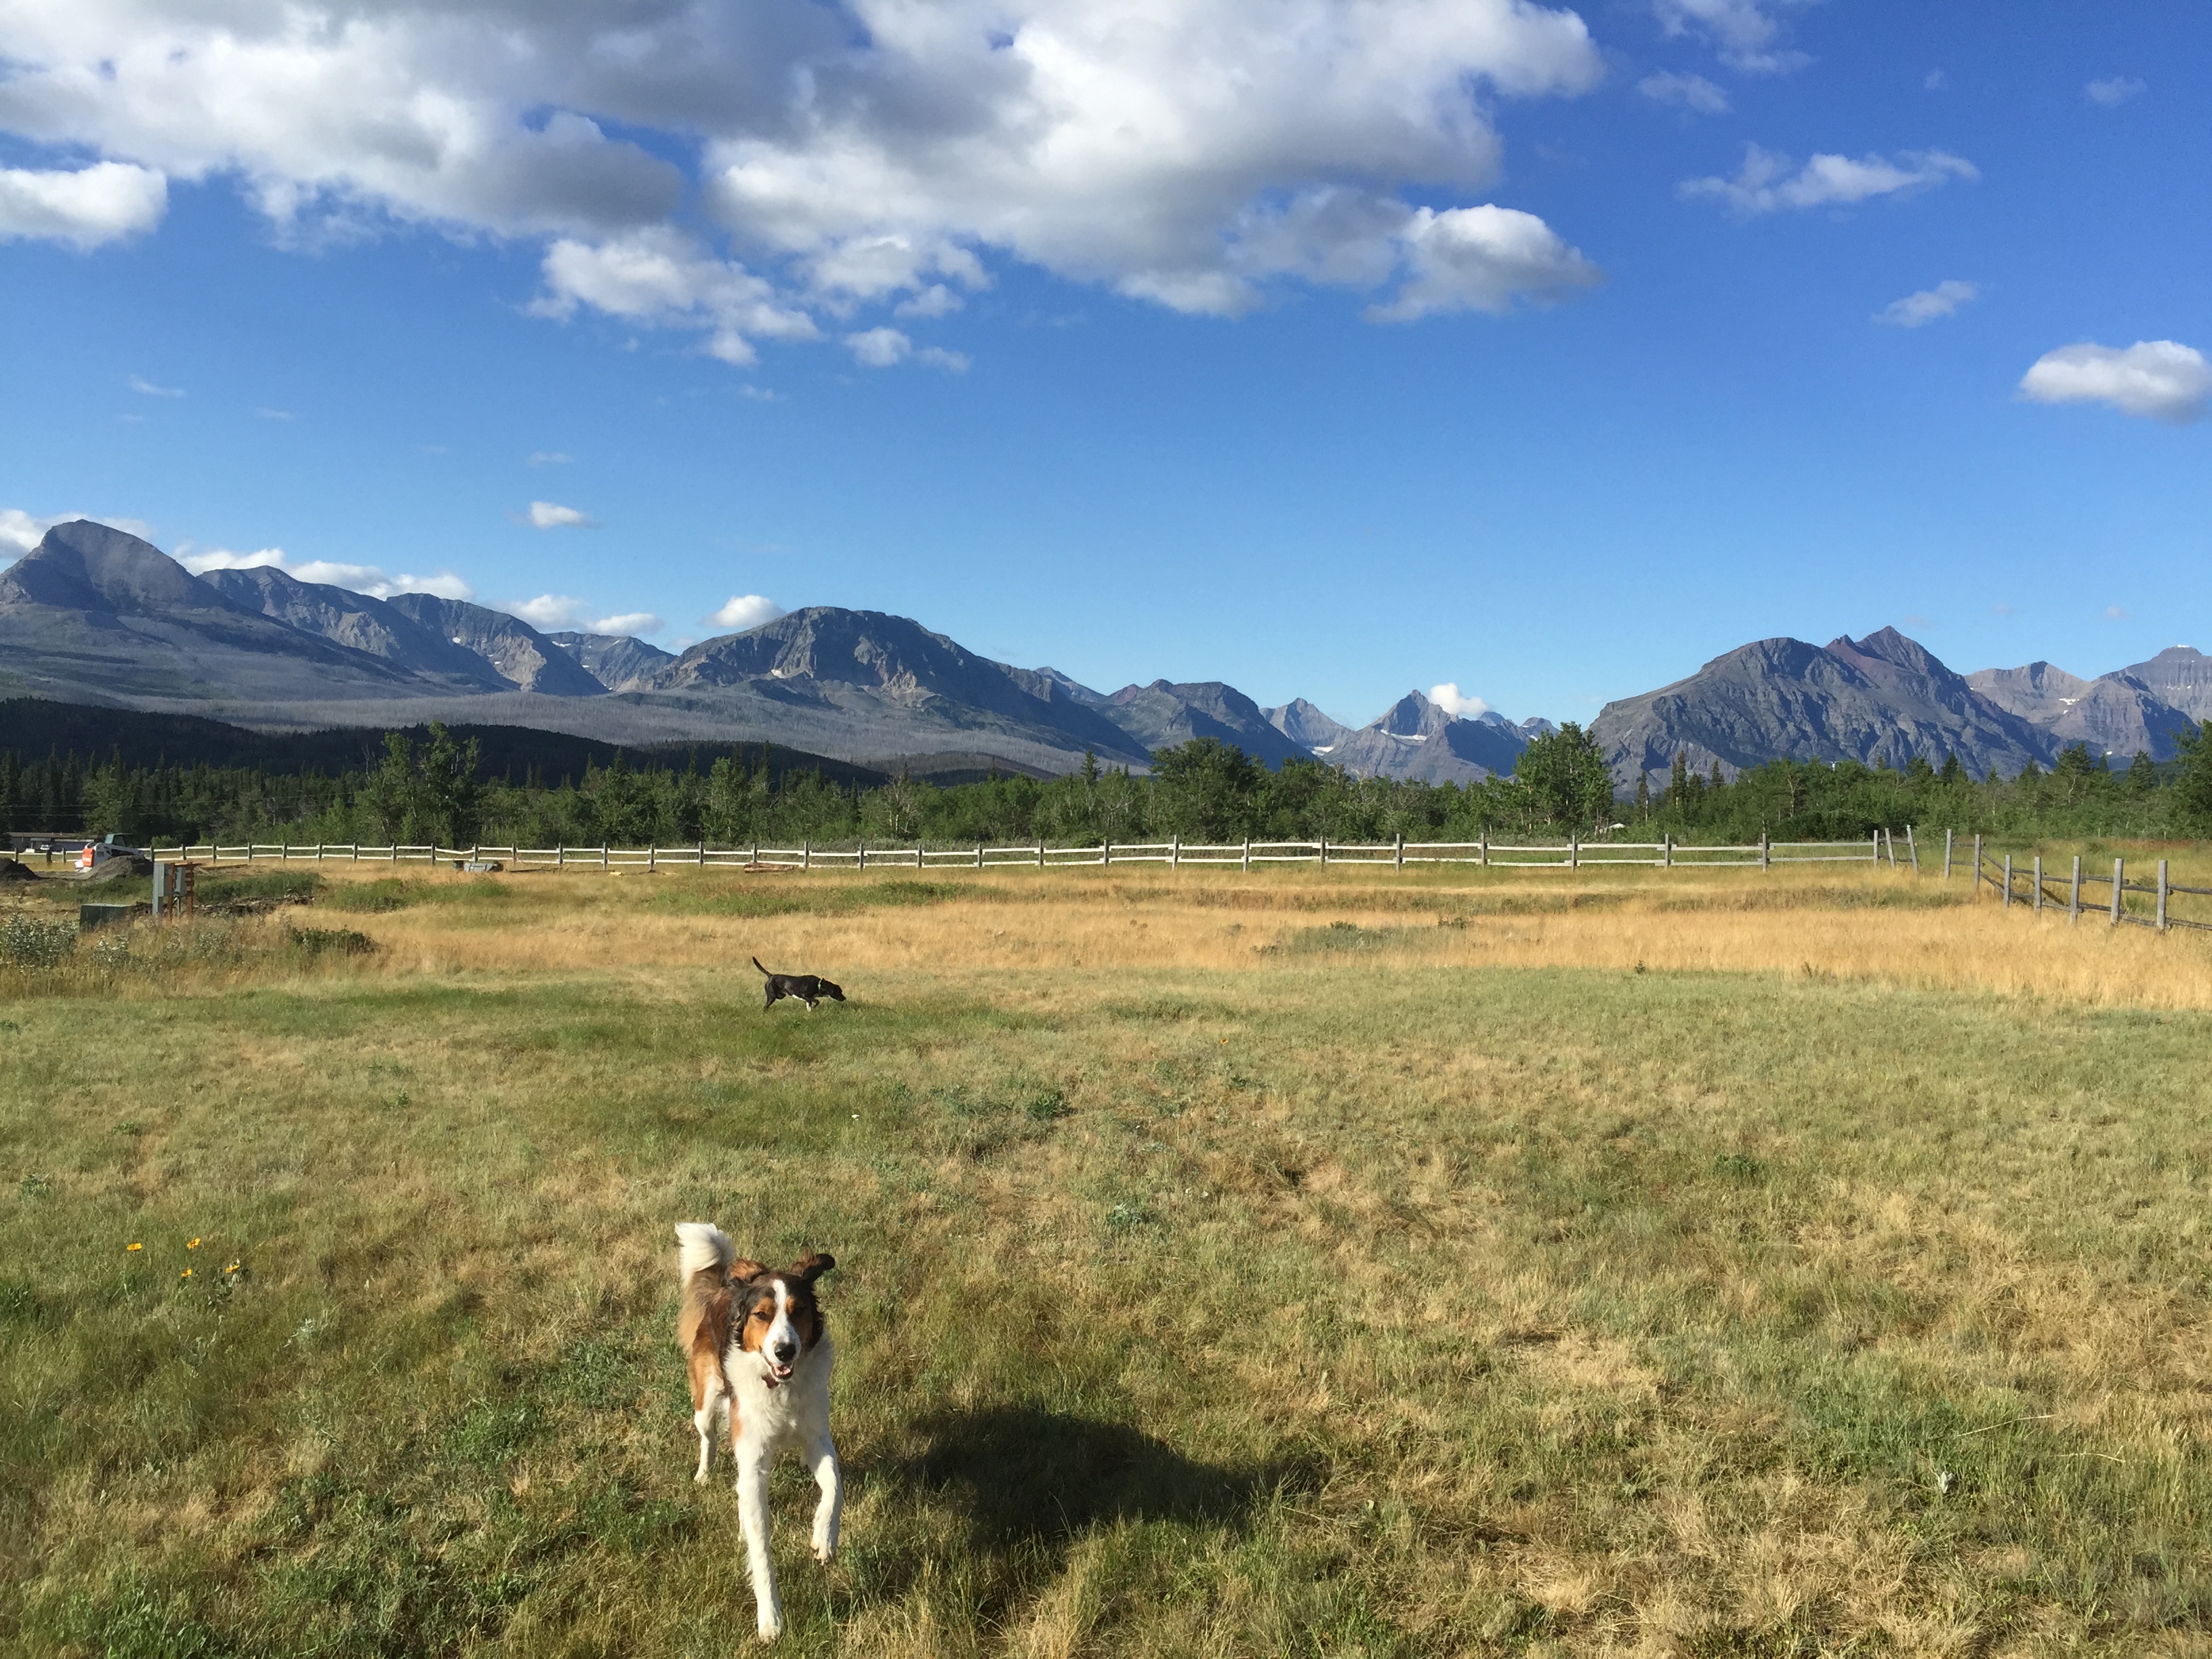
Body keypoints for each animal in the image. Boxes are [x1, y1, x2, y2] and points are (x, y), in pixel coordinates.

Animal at [676, 1224, 841, 1642]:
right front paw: (771, 1619)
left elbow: (835, 1487)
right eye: (763, 1316)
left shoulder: (817, 1440)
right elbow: (762, 1551)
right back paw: (704, 1474)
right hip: (706, 1403)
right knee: (708, 1438)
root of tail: (724, 1289)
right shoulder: (752, 1464)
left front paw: (824, 1535)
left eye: (798, 1312)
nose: (785, 1351)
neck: (780, 1387)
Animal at [753, 956, 845, 1012]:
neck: (818, 985)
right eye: (838, 992)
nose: (845, 998)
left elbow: (810, 1007)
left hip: (780, 996)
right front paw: (815, 1006)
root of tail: (771, 976)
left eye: (841, 991)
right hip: (772, 997)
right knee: (765, 1007)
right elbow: (817, 1001)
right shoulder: (805, 995)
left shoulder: (808, 1000)